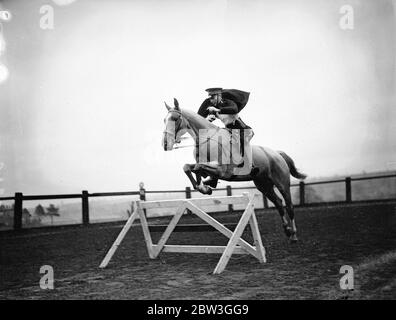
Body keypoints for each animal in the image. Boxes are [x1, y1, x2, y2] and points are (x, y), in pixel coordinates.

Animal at [161, 99, 306, 241]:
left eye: (175, 118)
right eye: (164, 120)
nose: (165, 144)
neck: (207, 140)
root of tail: (277, 154)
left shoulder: (221, 170)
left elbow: (198, 168)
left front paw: (205, 187)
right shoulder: (205, 166)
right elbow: (188, 167)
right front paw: (205, 187)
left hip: (282, 183)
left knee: (289, 205)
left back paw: (294, 234)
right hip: (263, 185)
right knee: (279, 203)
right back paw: (287, 230)